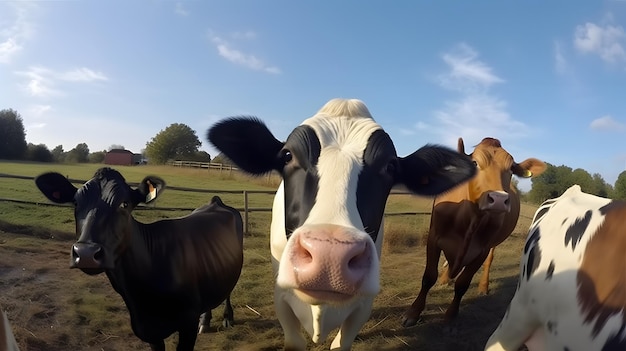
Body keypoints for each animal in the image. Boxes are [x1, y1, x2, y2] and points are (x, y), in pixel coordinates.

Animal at [33, 168, 244, 351]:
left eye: (124, 204)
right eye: (76, 203)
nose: (85, 253)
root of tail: (215, 201)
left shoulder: (187, 324)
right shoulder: (149, 332)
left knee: (228, 290)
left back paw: (227, 318)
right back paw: (205, 321)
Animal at [402, 137, 544, 328]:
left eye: (511, 170)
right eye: (475, 163)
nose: (498, 199)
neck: (470, 219)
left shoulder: (481, 251)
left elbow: (463, 284)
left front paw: (450, 317)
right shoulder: (434, 237)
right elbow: (429, 277)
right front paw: (413, 312)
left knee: (488, 262)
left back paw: (482, 287)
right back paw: (445, 279)